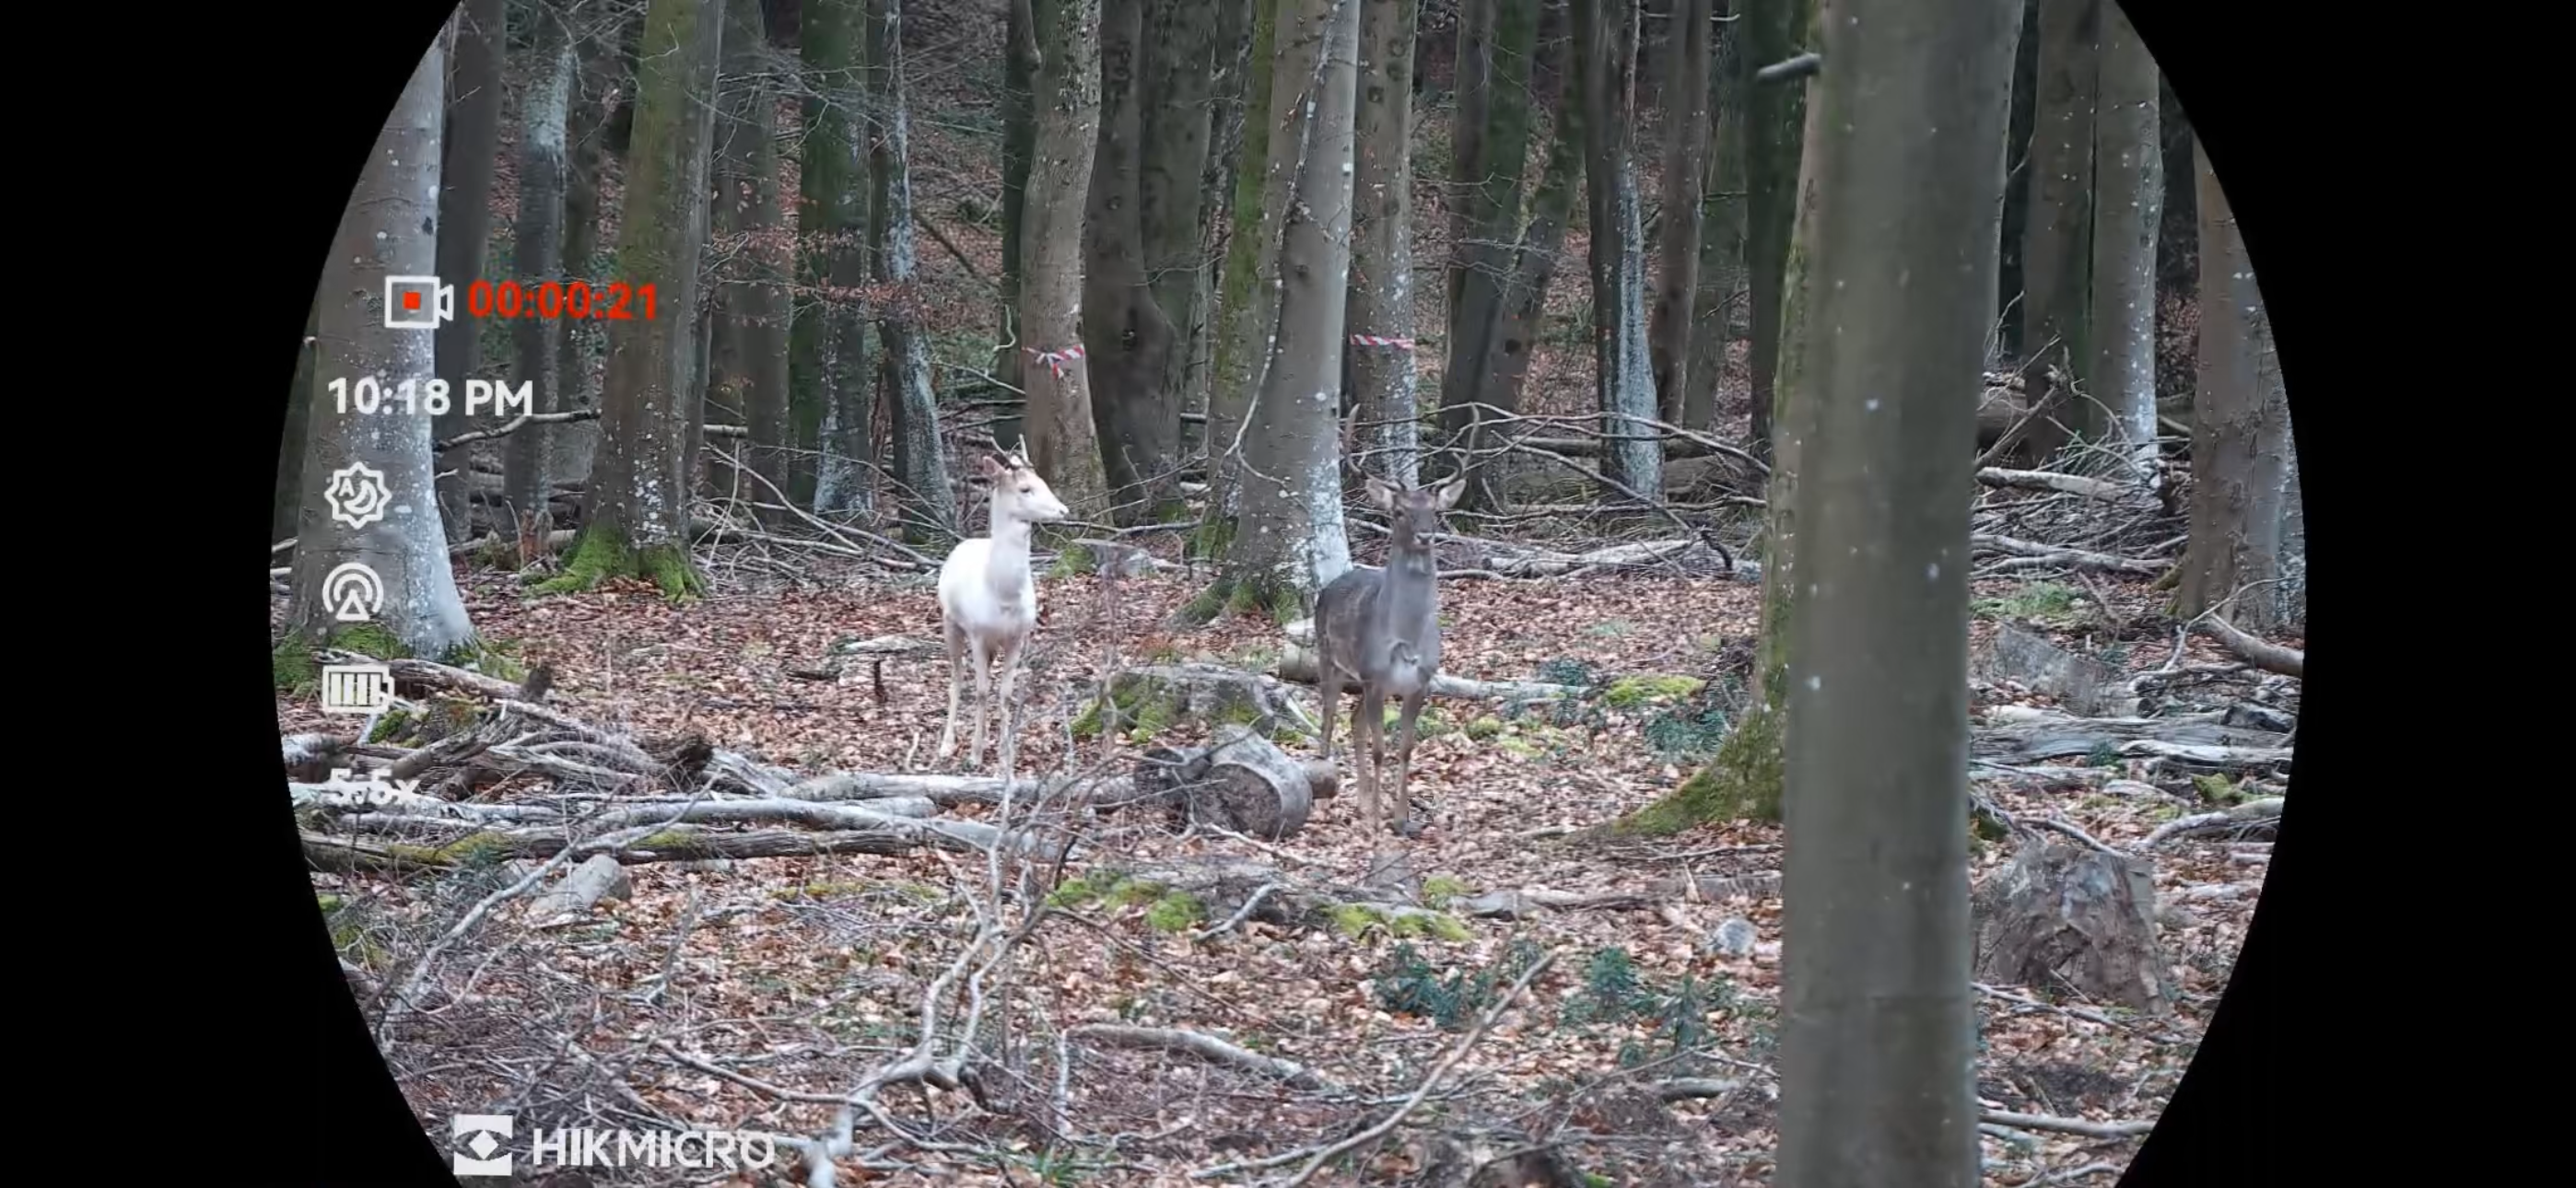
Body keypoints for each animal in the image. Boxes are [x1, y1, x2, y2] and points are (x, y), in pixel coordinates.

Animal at [936, 441, 1070, 775]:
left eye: (1043, 482)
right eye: (1025, 488)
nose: (1063, 510)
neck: (1003, 597)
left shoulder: (1018, 637)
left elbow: (1006, 694)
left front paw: (1005, 757)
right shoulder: (977, 634)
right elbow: (982, 691)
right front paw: (975, 754)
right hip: (950, 623)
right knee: (956, 679)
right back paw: (946, 744)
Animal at [1315, 473, 1468, 845]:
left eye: (1435, 511)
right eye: (1399, 512)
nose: (1425, 535)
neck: (1407, 639)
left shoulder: (1419, 684)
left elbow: (1406, 749)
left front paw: (1399, 819)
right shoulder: (1375, 678)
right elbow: (1380, 749)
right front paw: (1376, 822)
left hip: (1360, 680)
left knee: (1353, 721)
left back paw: (1360, 803)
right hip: (1330, 659)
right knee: (1328, 719)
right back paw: (1328, 799)